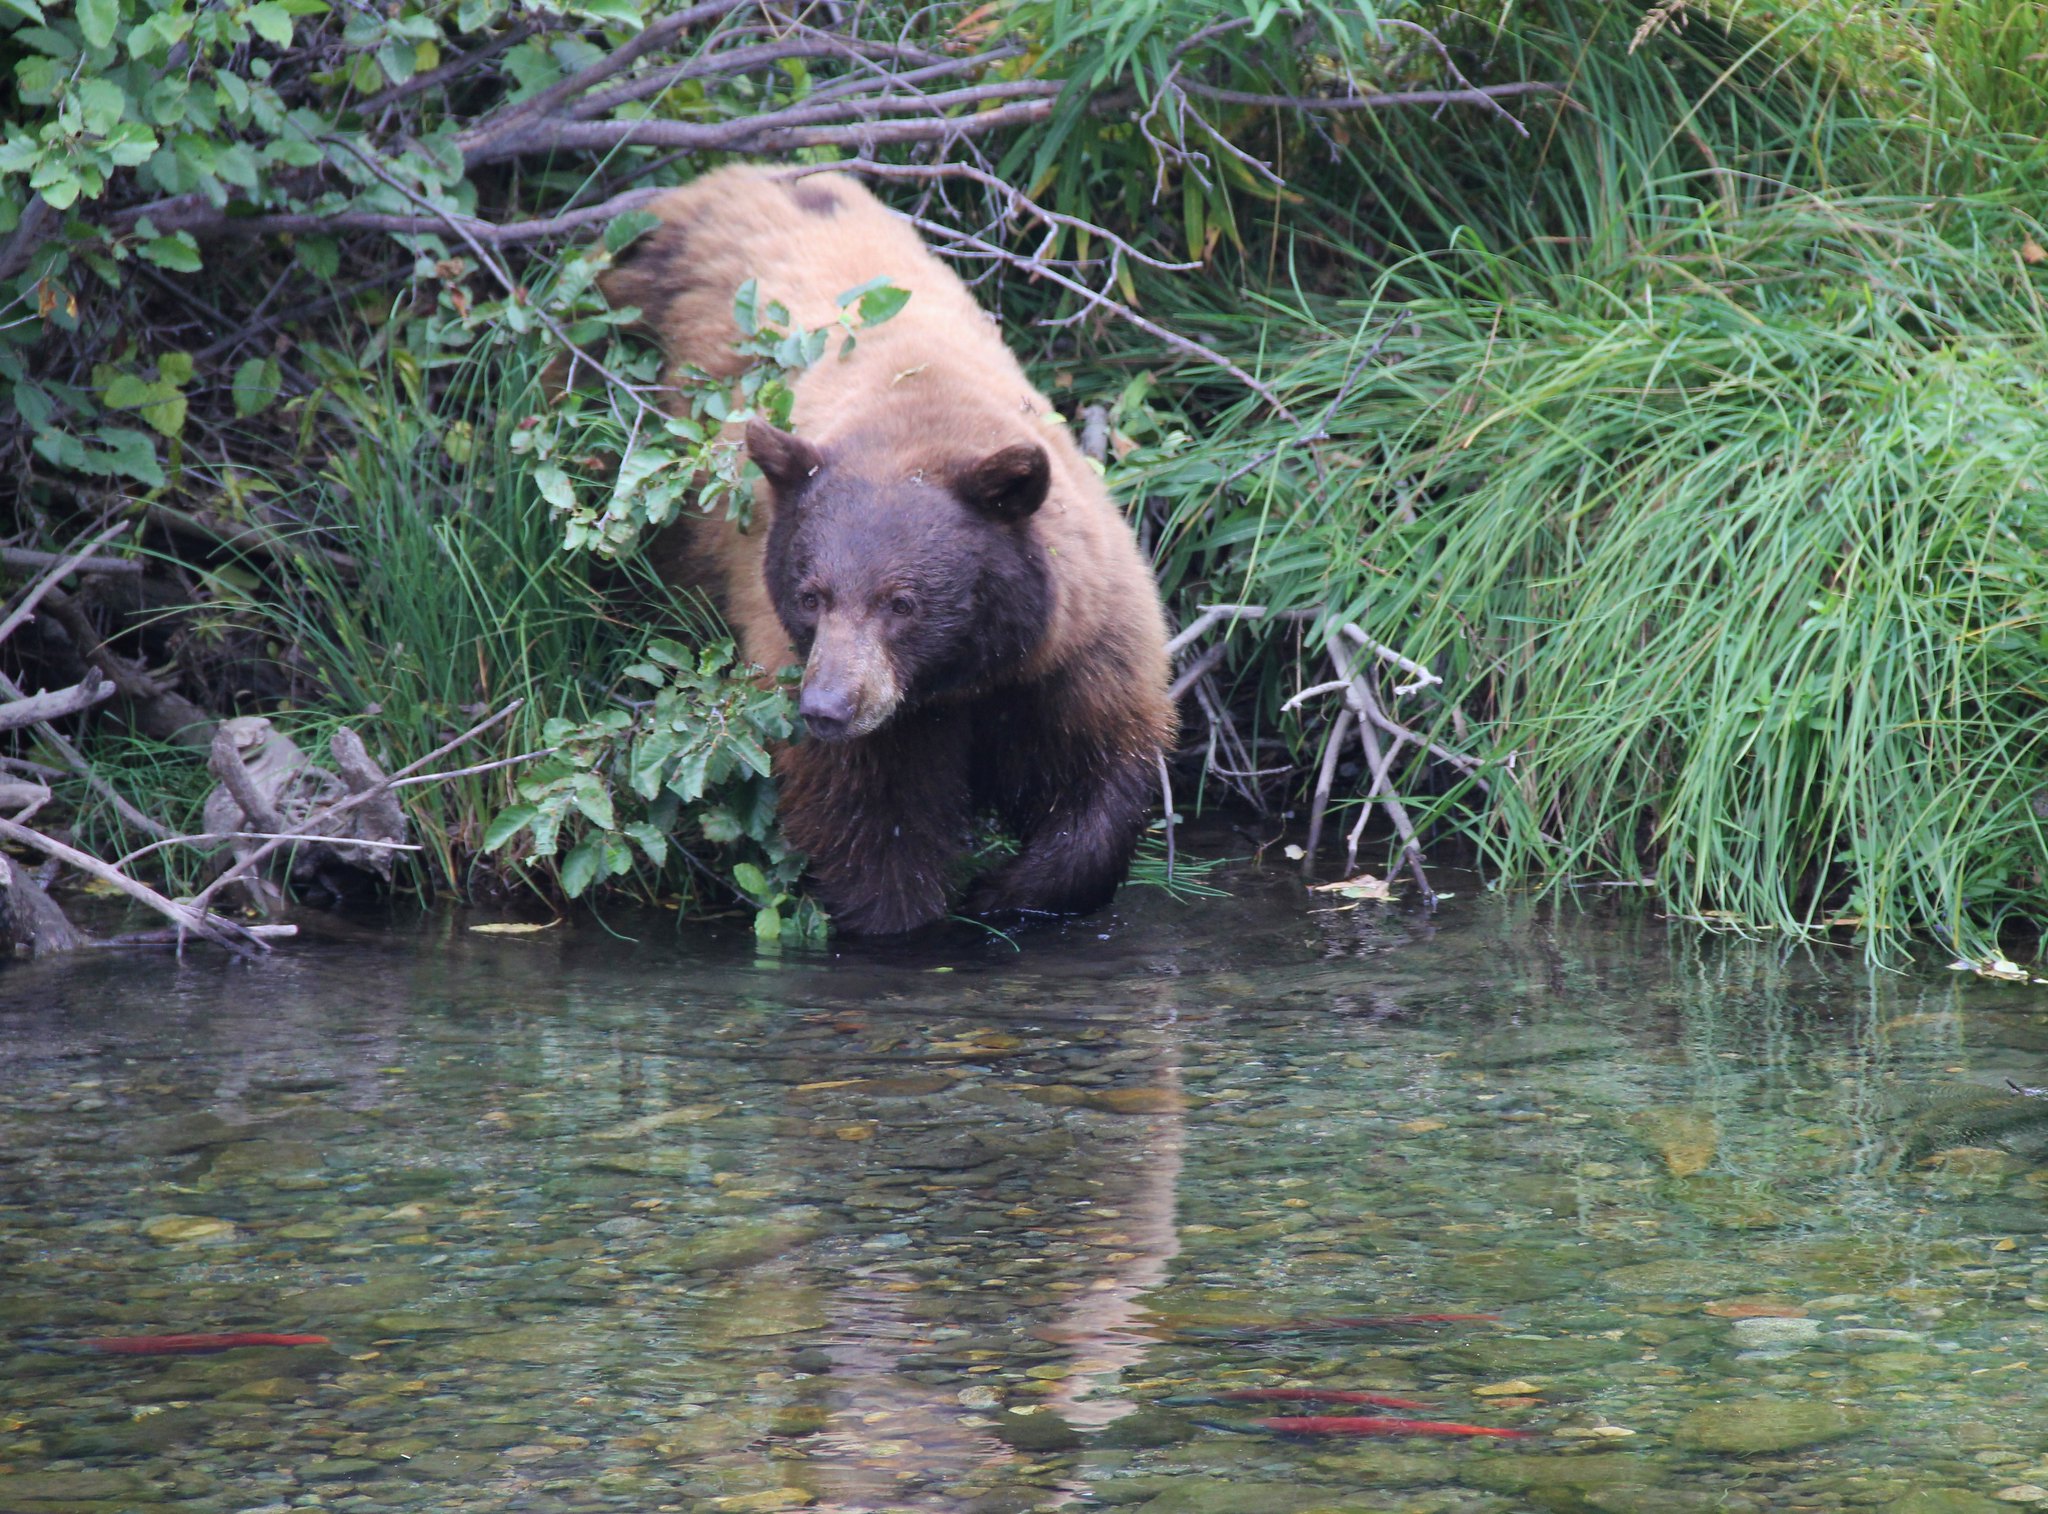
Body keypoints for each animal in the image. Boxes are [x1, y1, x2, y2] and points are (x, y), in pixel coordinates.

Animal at [599, 165, 1176, 935]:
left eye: (903, 602)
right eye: (811, 596)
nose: (827, 708)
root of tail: (713, 179)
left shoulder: (1077, 645)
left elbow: (1098, 777)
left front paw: (1005, 890)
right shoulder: (819, 676)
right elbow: (869, 823)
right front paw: (911, 916)